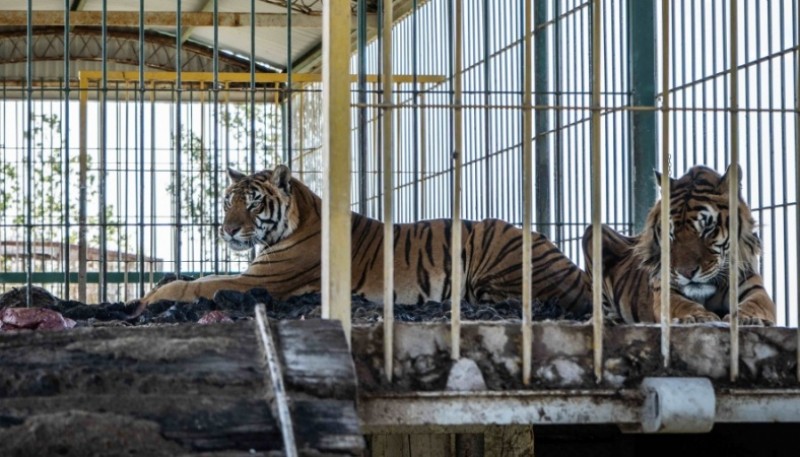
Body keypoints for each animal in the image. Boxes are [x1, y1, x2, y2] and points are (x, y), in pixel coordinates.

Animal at [134, 163, 592, 318]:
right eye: (228, 201)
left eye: (252, 203)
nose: (227, 229)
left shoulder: (259, 281)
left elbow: (197, 285)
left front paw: (149, 297)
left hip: (492, 241)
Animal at [580, 164, 776, 324]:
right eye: (671, 233)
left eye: (707, 228)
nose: (686, 273)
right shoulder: (666, 290)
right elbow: (683, 305)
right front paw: (697, 316)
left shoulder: (754, 287)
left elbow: (755, 304)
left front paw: (747, 318)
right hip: (593, 232)